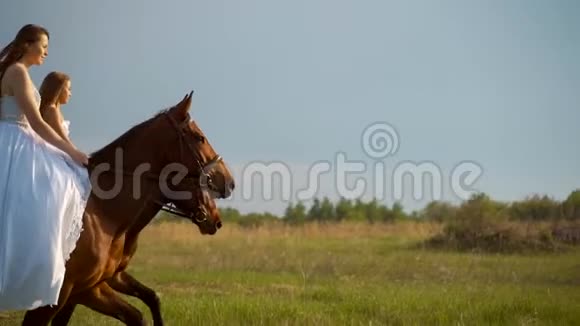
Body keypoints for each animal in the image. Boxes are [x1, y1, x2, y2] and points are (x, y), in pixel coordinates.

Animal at [20, 91, 234, 326]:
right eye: (199, 137)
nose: (229, 182)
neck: (103, 213)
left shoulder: (100, 283)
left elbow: (149, 301)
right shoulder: (70, 291)